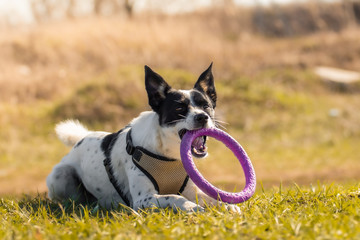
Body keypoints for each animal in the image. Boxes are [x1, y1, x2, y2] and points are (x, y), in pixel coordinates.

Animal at [46, 63, 240, 212]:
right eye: (179, 109)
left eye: (206, 106)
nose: (202, 117)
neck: (168, 155)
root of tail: (82, 138)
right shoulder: (143, 199)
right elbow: (174, 197)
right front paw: (192, 207)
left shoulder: (192, 190)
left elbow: (211, 196)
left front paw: (227, 206)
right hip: (61, 175)